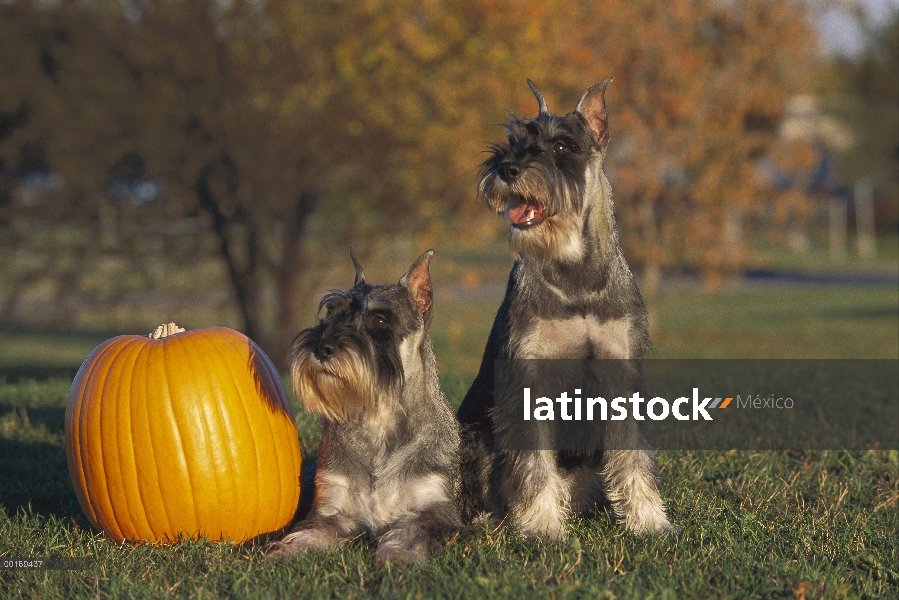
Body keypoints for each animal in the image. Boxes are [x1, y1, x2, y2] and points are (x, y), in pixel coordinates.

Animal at [266, 248, 464, 564]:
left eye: (380, 320)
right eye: (331, 312)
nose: (321, 348)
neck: (377, 420)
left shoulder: (436, 511)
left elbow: (412, 532)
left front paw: (398, 557)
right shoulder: (331, 511)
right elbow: (306, 534)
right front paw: (282, 554)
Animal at [458, 78, 676, 540]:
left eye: (562, 146)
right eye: (514, 141)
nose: (507, 169)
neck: (575, 276)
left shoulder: (620, 376)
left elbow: (634, 459)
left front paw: (650, 521)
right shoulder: (528, 379)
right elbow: (533, 464)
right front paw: (542, 527)